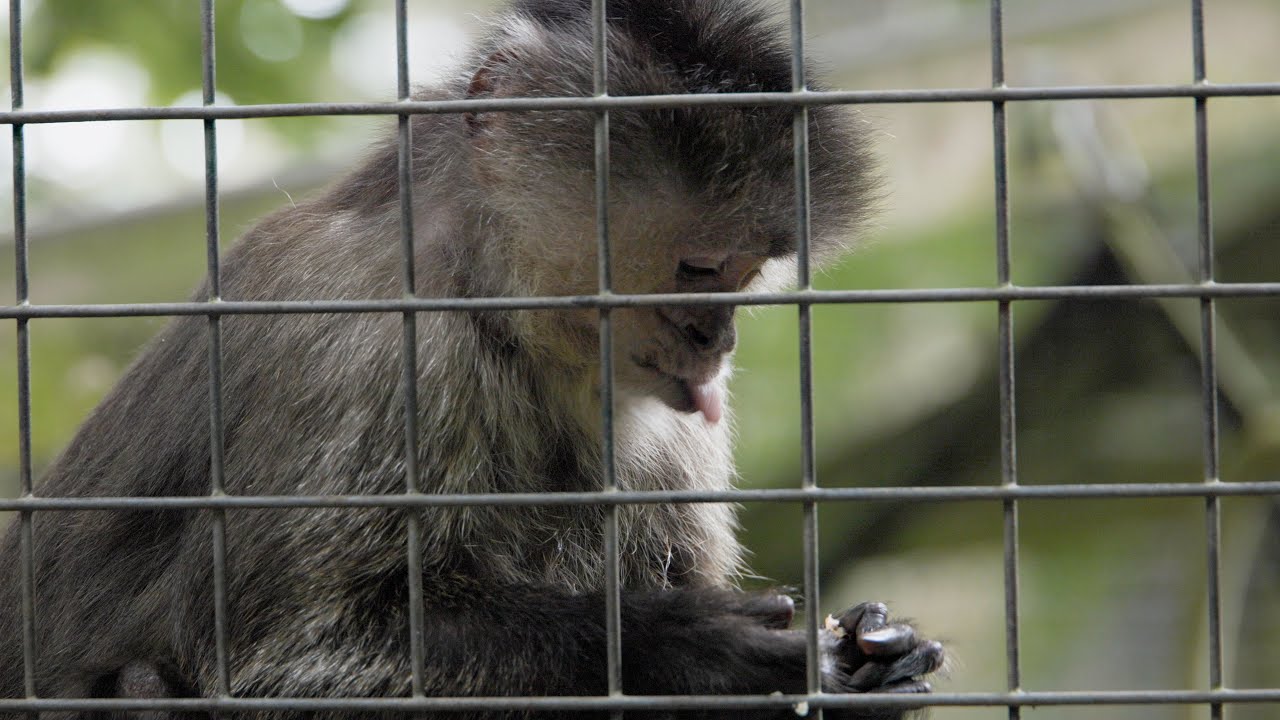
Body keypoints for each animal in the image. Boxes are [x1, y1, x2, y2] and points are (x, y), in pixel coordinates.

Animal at [0, 0, 943, 718]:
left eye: (747, 273)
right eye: (702, 268)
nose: (719, 340)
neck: (493, 309)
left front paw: (871, 662)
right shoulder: (369, 343)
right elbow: (288, 658)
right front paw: (680, 649)